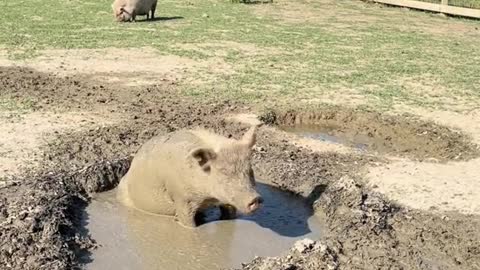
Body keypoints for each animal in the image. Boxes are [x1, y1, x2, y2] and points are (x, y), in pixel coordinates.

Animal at [118, 125, 264, 227]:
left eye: (250, 170)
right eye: (224, 171)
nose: (256, 198)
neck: (209, 198)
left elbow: (229, 214)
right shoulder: (182, 198)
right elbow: (188, 223)